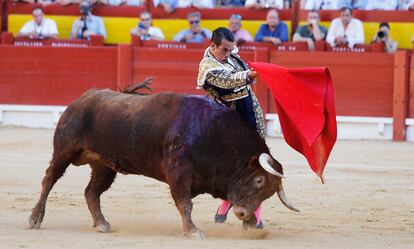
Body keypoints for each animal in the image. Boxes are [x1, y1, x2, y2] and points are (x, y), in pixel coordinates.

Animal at [29, 86, 300, 238]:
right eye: (258, 180)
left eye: (268, 193)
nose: (244, 213)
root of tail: (83, 98)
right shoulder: (178, 172)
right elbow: (185, 203)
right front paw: (192, 231)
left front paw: (253, 226)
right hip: (64, 150)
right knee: (49, 180)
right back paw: (35, 219)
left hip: (104, 166)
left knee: (91, 192)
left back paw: (102, 224)